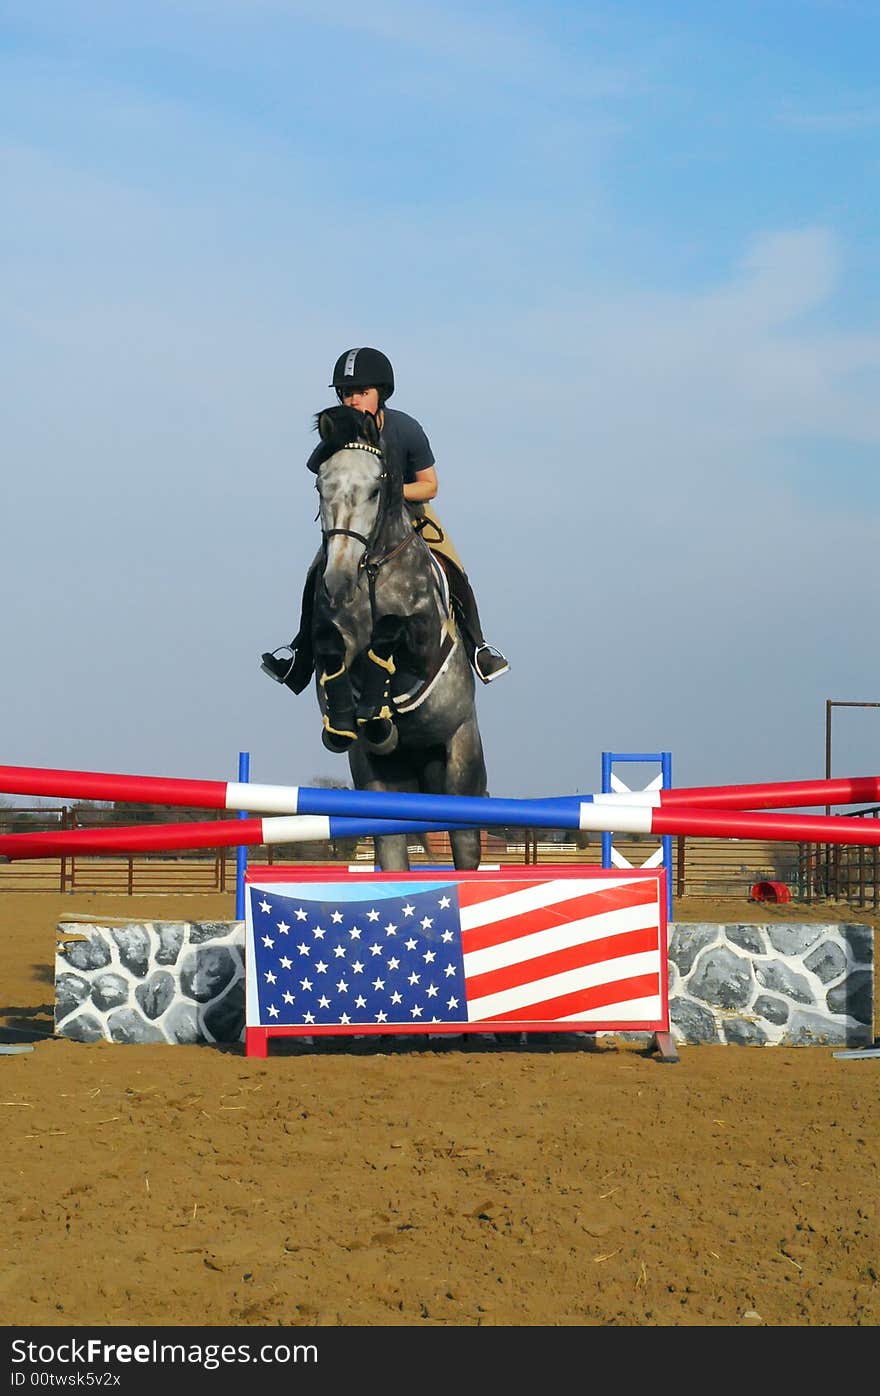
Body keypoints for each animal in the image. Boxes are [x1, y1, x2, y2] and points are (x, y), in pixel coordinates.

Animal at [308, 402, 488, 871]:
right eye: (320, 485)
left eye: (375, 489)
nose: (337, 581)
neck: (371, 567)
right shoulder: (338, 633)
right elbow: (331, 645)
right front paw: (344, 719)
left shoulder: (425, 642)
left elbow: (390, 633)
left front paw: (375, 708)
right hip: (380, 777)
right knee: (392, 848)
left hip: (461, 755)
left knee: (465, 843)